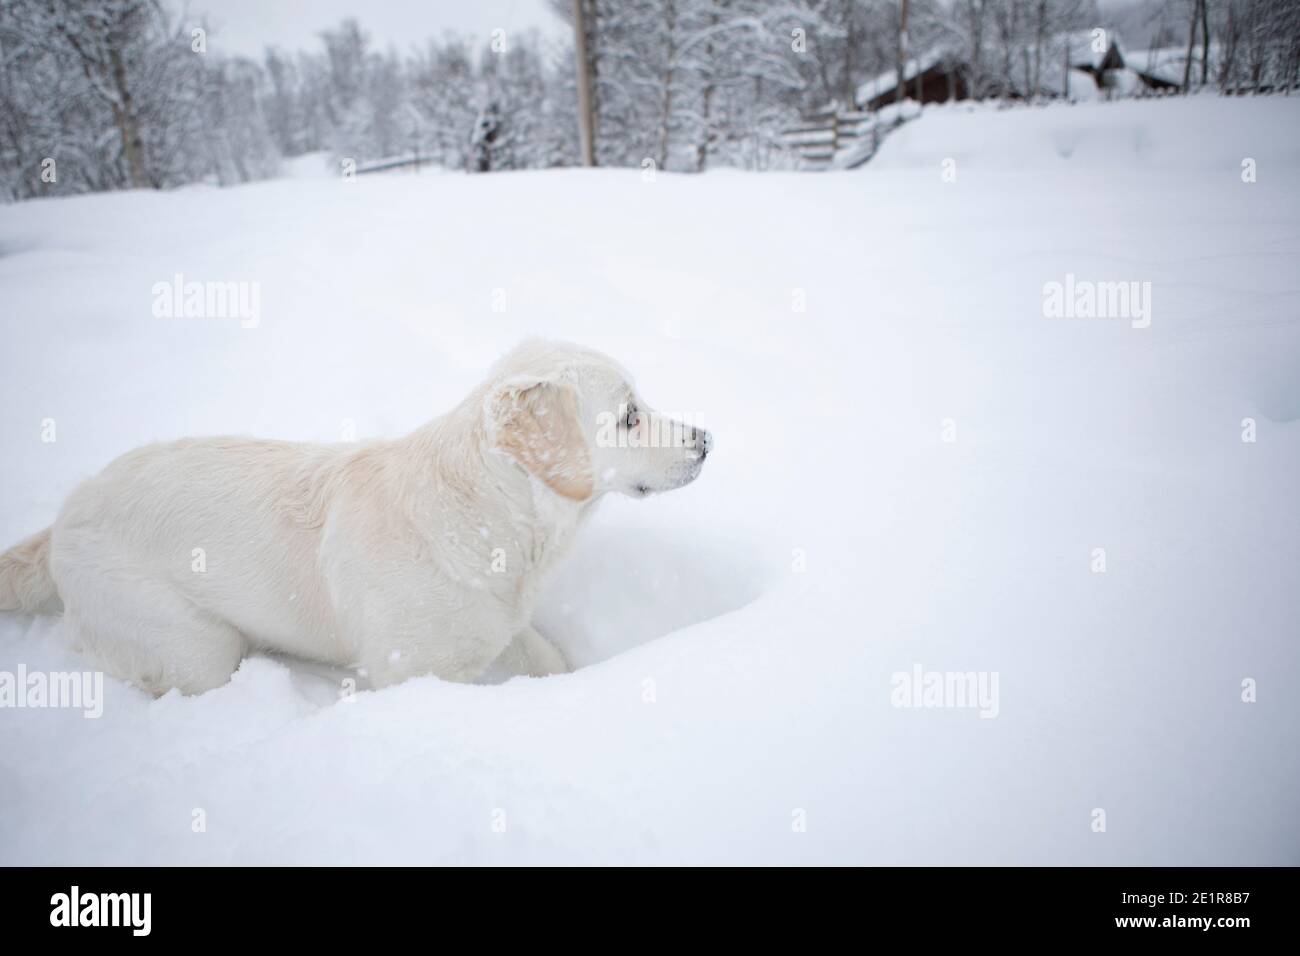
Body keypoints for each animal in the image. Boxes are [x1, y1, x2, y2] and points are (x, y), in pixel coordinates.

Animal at [0, 343, 712, 697]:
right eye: (629, 415)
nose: (707, 438)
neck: (491, 515)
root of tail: (67, 515)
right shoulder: (410, 671)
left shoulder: (500, 628)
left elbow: (549, 655)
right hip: (193, 645)